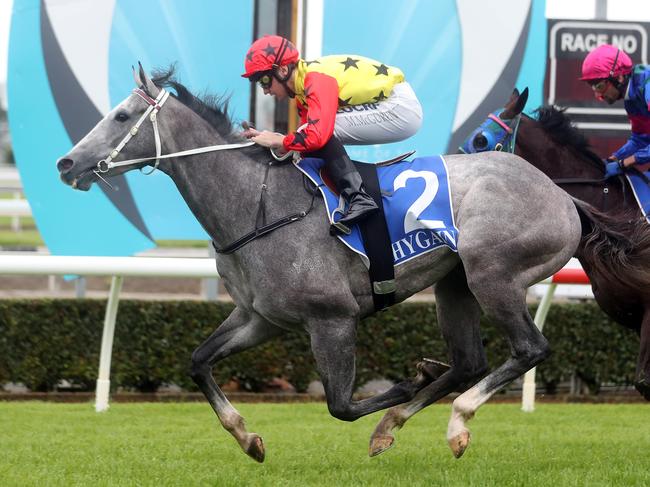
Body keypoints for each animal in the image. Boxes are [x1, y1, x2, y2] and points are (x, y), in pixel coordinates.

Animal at [57, 66, 648, 464]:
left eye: (121, 116)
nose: (66, 163)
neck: (258, 203)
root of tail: (564, 196)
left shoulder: (332, 319)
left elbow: (340, 404)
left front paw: (408, 382)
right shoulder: (260, 318)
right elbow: (199, 361)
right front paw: (248, 438)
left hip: (493, 274)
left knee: (528, 348)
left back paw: (454, 423)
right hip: (455, 284)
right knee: (469, 361)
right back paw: (399, 420)